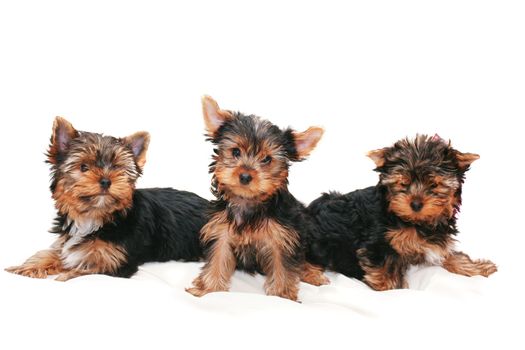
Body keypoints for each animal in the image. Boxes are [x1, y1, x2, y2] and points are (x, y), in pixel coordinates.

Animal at [6, 116, 208, 280]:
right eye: (84, 167)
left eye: (117, 168)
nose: (105, 180)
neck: (94, 216)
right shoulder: (66, 242)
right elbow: (54, 252)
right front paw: (26, 267)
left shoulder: (114, 260)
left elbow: (86, 267)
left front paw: (63, 275)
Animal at [184, 95, 324, 300]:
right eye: (235, 152)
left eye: (267, 159)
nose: (245, 176)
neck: (248, 202)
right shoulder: (221, 231)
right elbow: (218, 258)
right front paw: (208, 289)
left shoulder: (282, 238)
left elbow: (283, 267)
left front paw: (282, 296)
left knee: (304, 258)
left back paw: (312, 273)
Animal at [302, 134, 496, 290]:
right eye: (403, 183)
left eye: (433, 185)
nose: (416, 204)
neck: (414, 221)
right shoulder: (378, 244)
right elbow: (385, 271)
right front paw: (393, 289)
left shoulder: (436, 240)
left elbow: (451, 255)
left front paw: (477, 268)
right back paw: (314, 276)